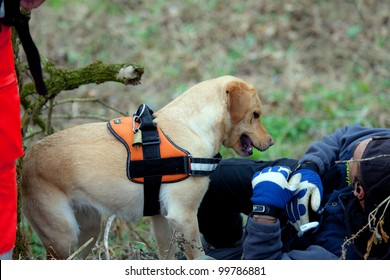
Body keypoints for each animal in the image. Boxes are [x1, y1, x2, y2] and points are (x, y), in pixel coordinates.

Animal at [20, 75, 272, 260]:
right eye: (256, 115)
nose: (271, 142)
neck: (191, 127)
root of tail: (27, 158)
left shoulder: (161, 218)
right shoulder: (184, 215)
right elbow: (198, 255)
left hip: (88, 231)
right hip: (63, 236)